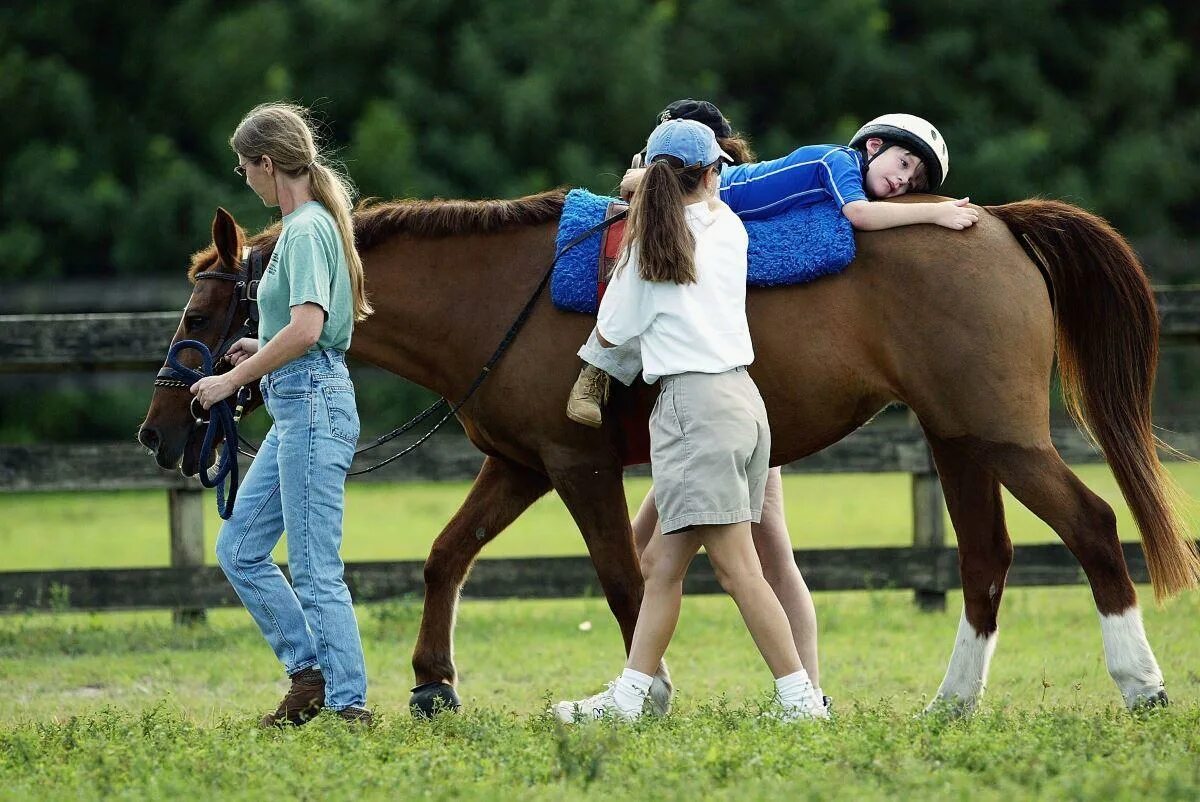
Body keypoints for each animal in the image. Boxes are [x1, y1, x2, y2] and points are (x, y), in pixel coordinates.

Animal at [140, 192, 1200, 715]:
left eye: (198, 315)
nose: (159, 430)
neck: (501, 293)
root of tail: (1000, 226)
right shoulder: (520, 465)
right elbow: (446, 557)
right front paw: (434, 682)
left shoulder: (576, 468)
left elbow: (624, 579)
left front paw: (647, 692)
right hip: (958, 441)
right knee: (985, 560)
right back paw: (952, 701)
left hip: (1004, 436)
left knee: (1093, 526)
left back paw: (1140, 684)